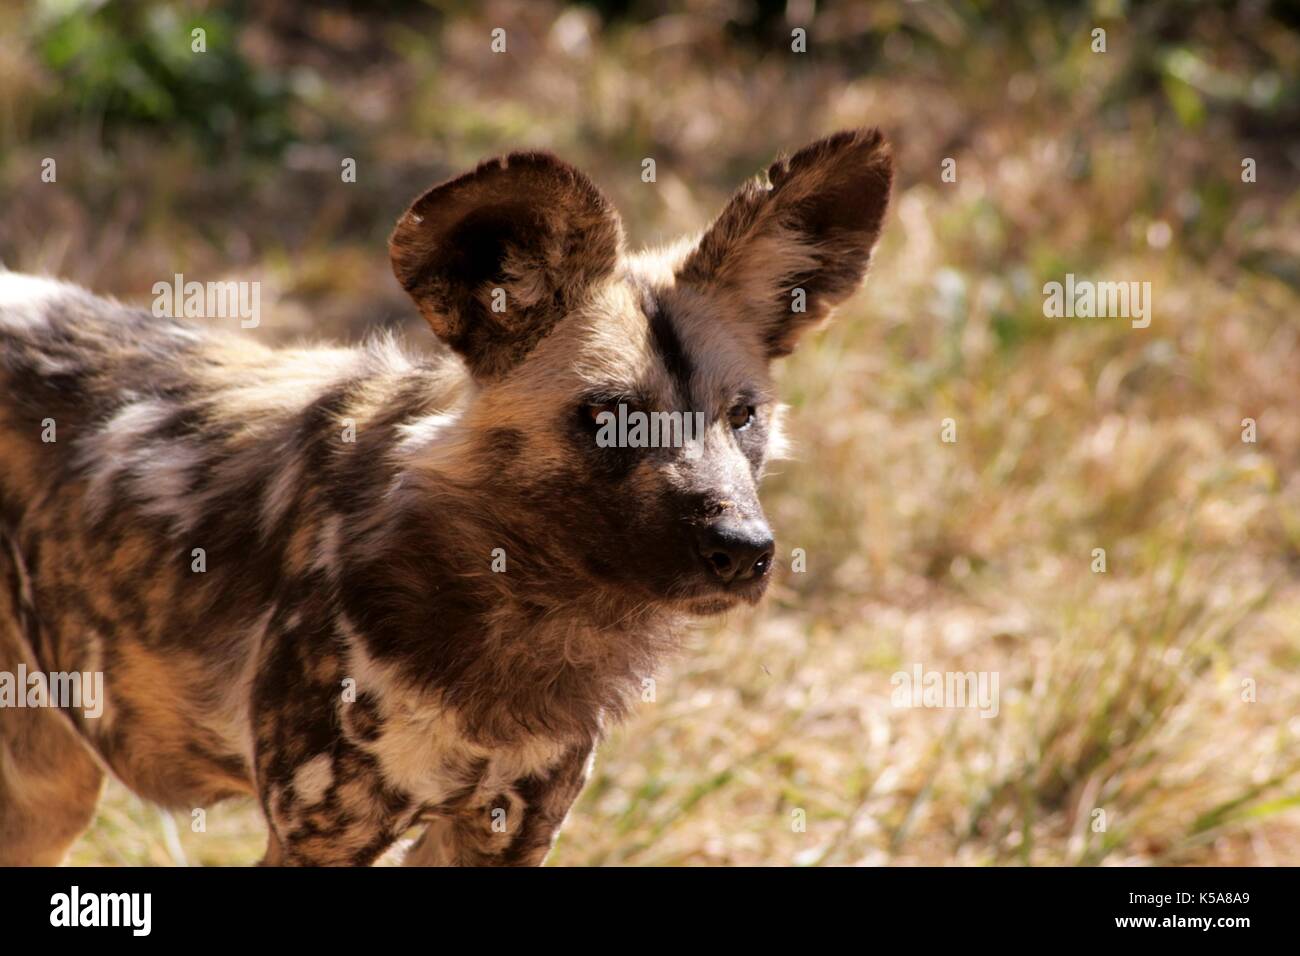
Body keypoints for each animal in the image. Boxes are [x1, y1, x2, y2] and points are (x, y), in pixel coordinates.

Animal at [0, 127, 889, 868]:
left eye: (742, 416)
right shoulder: (321, 839)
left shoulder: (504, 830)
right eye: (609, 418)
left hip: (46, 796)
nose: (743, 551)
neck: (521, 611)